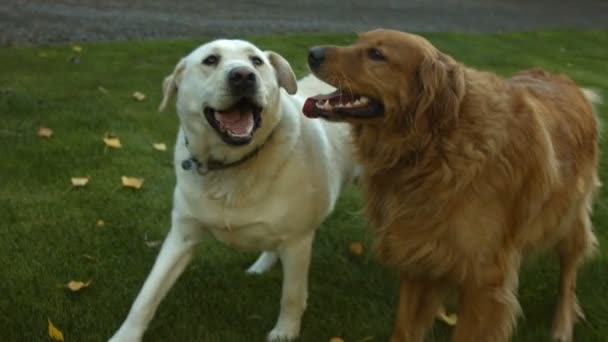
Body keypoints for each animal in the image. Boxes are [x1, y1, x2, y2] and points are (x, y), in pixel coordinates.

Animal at [109, 38, 356, 340]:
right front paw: (125, 335)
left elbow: (292, 295)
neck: (231, 166)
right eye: (211, 60)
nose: (243, 76)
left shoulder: (298, 241)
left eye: (256, 61)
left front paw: (285, 331)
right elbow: (147, 294)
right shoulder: (182, 235)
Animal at [302, 29, 600, 342]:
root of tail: (567, 80)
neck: (434, 144)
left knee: (569, 276)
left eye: (376, 55)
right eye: (357, 41)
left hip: (567, 221)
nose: (312, 53)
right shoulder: (416, 252)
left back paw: (562, 325)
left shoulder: (485, 279)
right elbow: (405, 328)